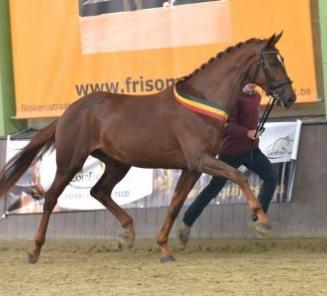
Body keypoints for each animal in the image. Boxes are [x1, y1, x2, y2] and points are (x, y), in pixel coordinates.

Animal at [0, 33, 298, 264]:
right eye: (273, 62)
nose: (290, 97)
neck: (203, 102)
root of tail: (67, 113)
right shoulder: (200, 160)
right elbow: (239, 176)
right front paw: (262, 221)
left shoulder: (191, 168)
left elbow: (175, 205)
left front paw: (165, 249)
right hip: (71, 161)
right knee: (51, 198)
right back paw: (34, 251)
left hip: (118, 163)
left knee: (99, 191)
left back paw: (127, 235)